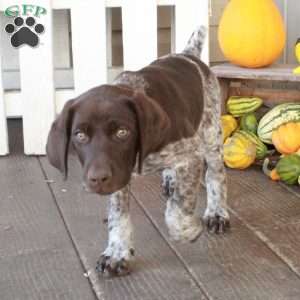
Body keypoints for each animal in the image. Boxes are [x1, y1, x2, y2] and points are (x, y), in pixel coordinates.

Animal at [47, 27, 230, 276]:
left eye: (122, 132)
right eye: (80, 135)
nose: (97, 179)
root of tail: (188, 54)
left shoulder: (190, 157)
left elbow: (178, 207)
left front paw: (186, 230)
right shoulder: (117, 178)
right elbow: (118, 215)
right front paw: (117, 252)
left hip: (211, 136)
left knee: (215, 175)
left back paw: (217, 212)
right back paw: (170, 180)